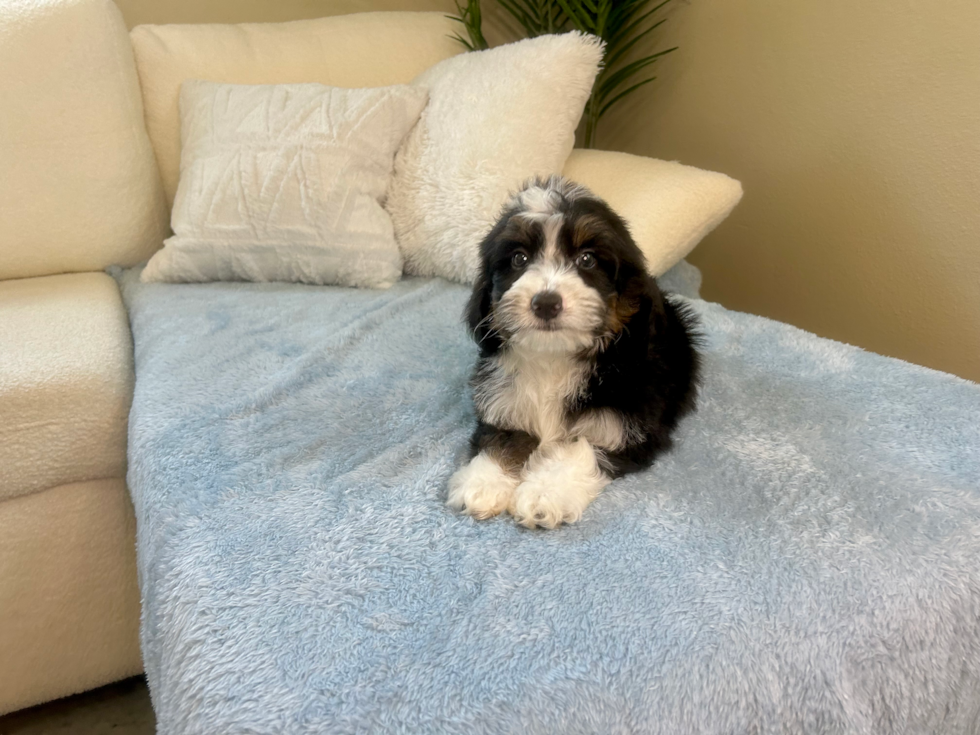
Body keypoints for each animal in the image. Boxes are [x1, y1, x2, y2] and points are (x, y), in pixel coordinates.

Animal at [448, 175, 700, 528]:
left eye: (587, 260)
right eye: (519, 259)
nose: (546, 302)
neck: (556, 356)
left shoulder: (633, 423)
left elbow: (583, 449)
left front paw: (546, 492)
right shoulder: (504, 401)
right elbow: (502, 437)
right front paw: (485, 482)